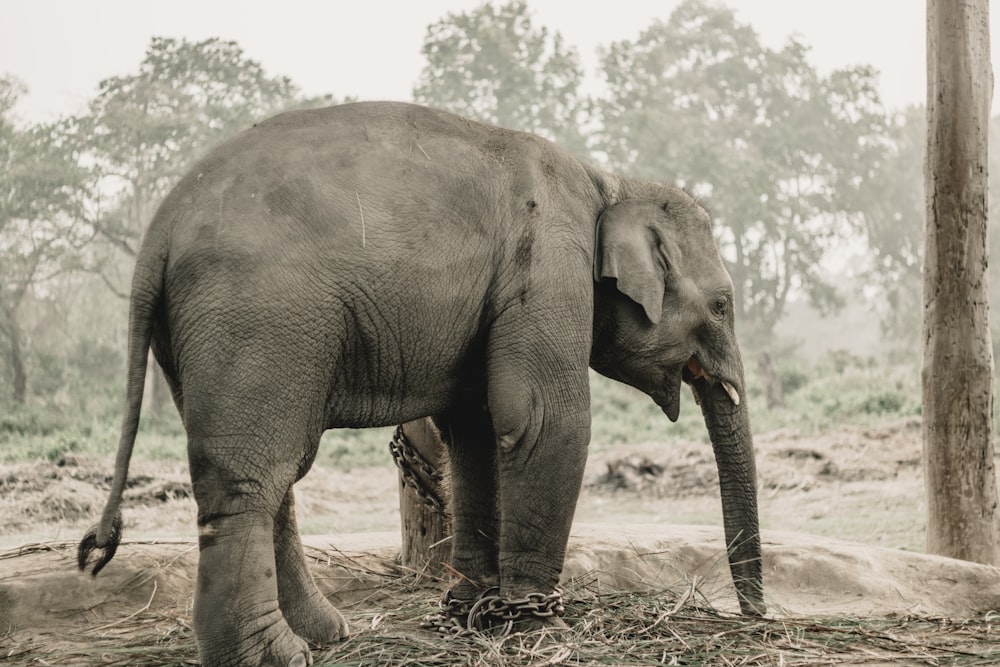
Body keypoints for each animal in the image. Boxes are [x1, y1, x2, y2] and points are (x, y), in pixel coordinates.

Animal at [80, 100, 764, 667]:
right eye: (723, 305)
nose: (755, 619)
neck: (611, 182)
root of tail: (159, 230)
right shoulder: (547, 265)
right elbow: (542, 420)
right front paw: (542, 632)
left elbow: (476, 429)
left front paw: (472, 615)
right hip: (259, 319)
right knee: (254, 476)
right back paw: (276, 656)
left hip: (202, 337)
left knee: (271, 473)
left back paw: (325, 634)